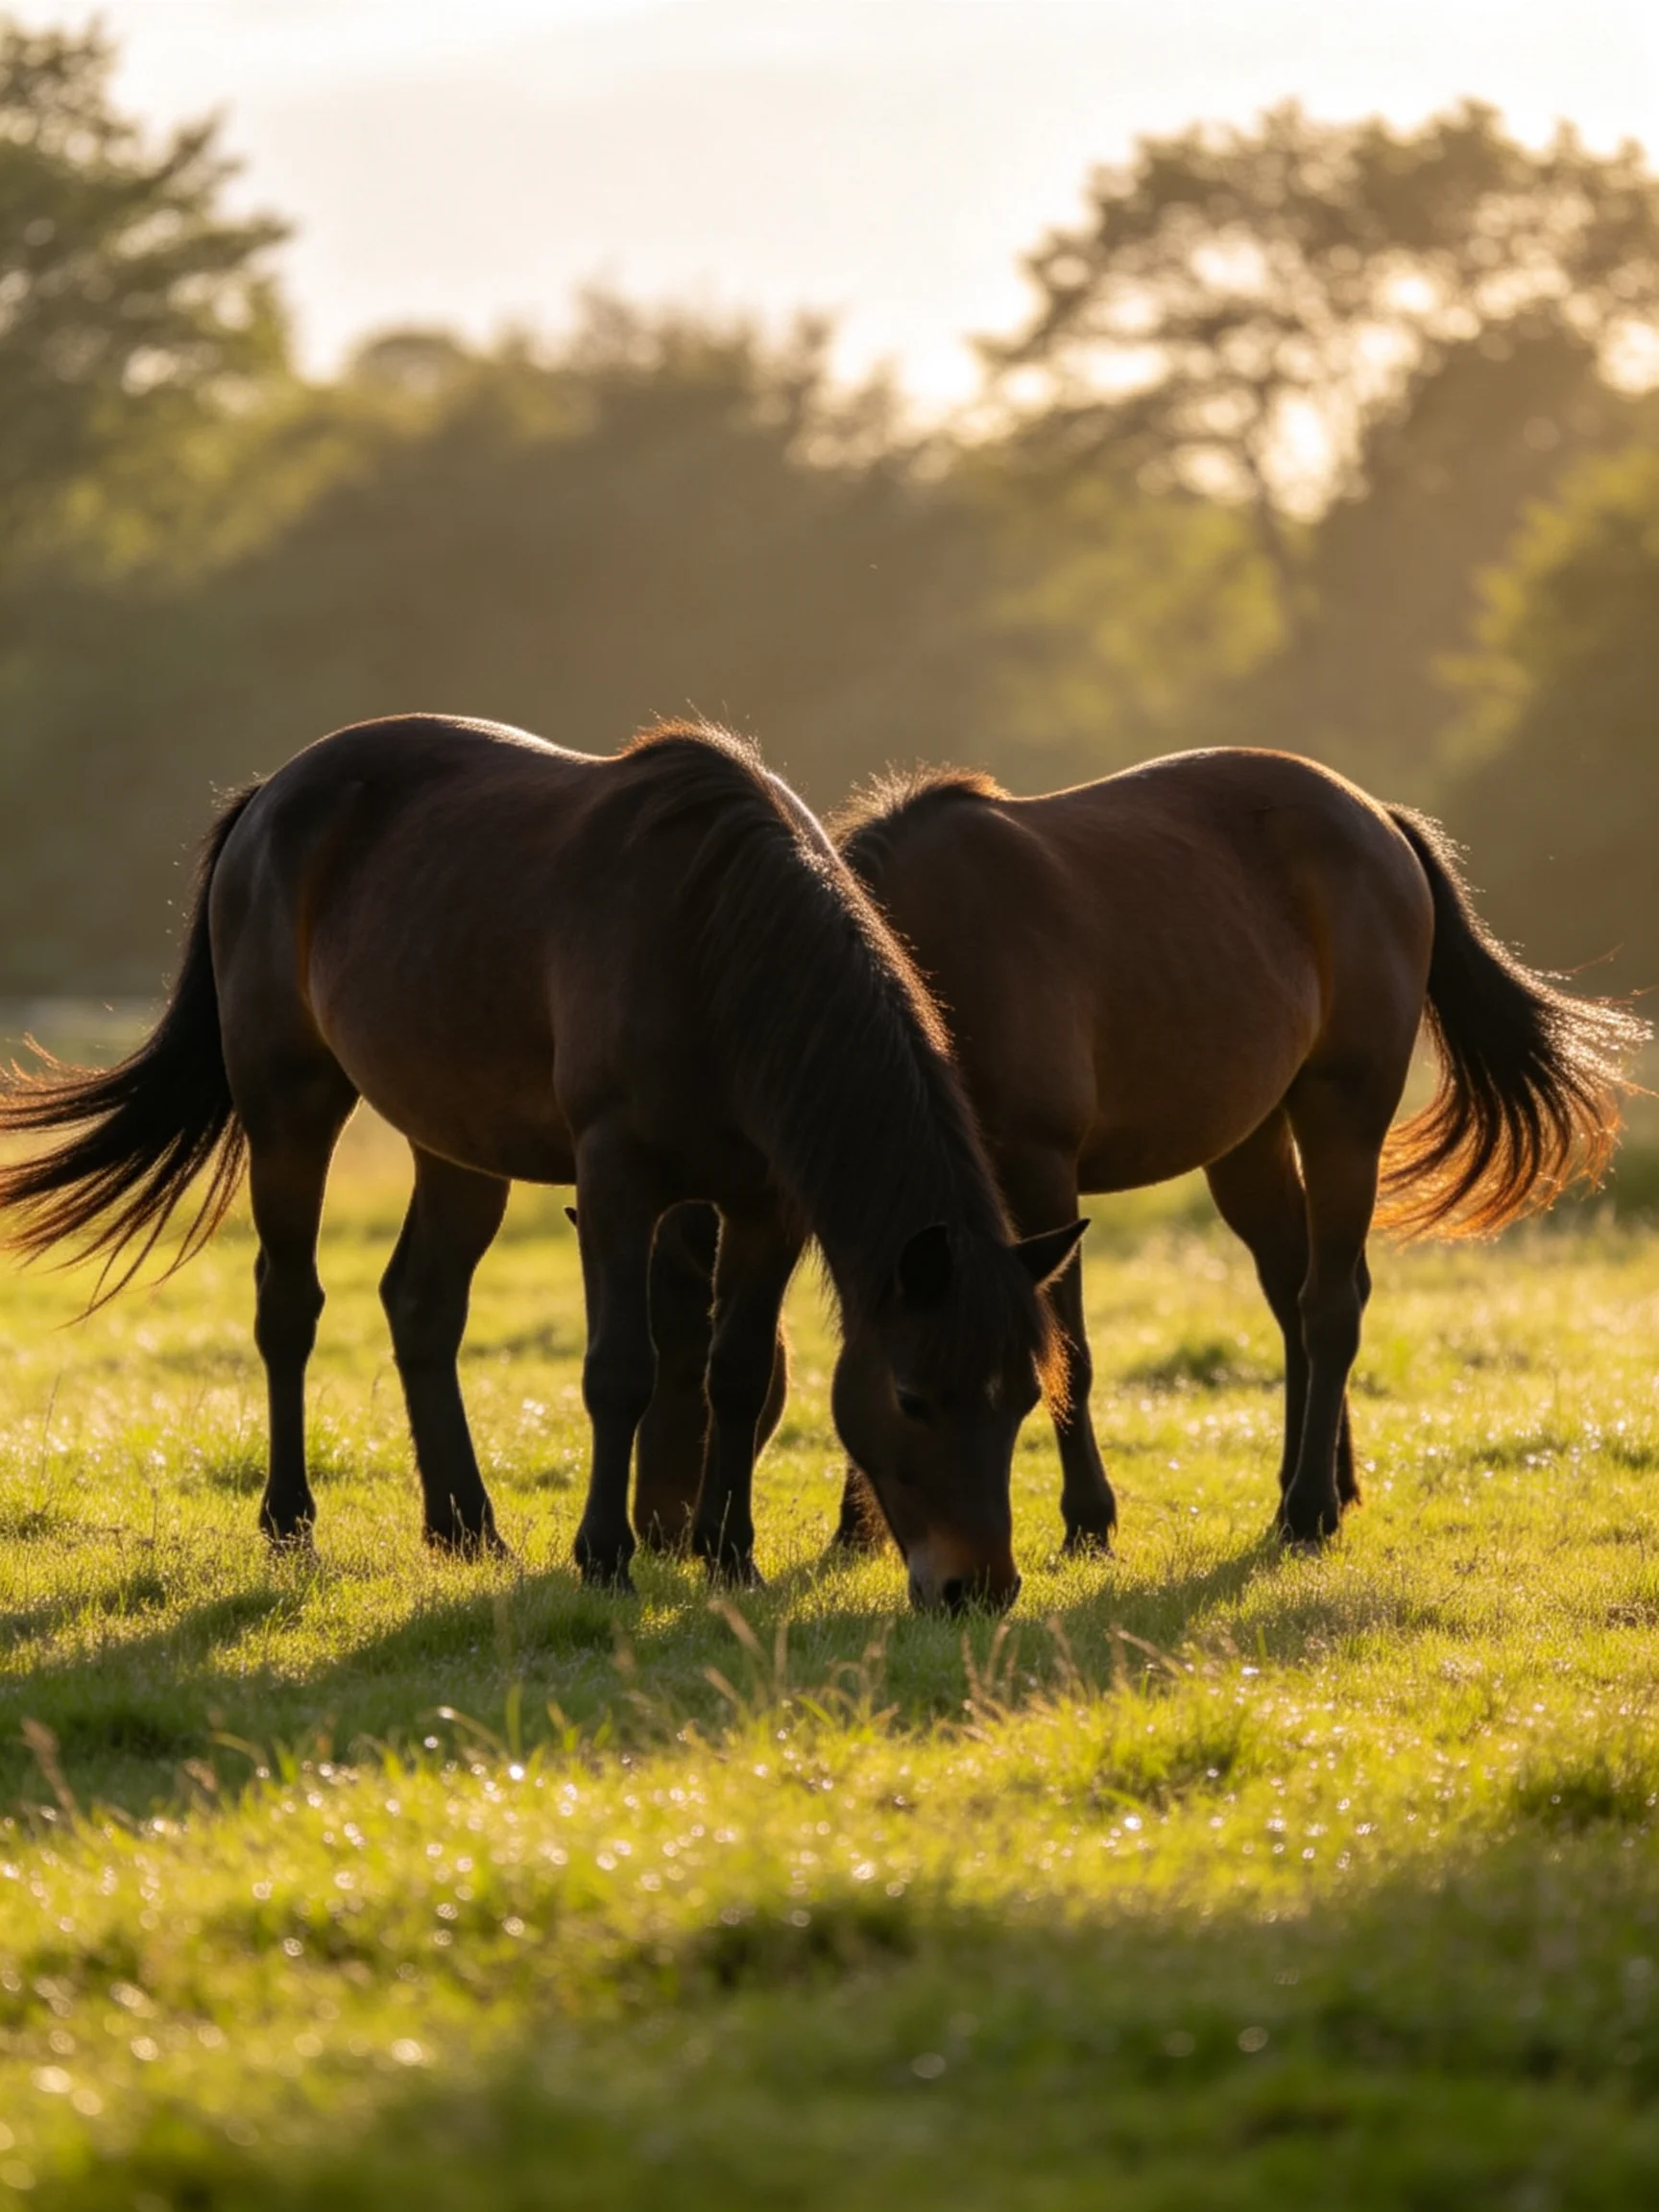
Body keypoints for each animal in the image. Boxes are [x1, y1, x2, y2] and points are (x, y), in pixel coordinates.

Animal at [0, 715, 1085, 1612]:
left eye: (1023, 1399)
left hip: (454, 1144)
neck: (715, 945)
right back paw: (290, 1524)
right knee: (289, 1305)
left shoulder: (766, 1205)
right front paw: (604, 1558)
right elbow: (621, 1372)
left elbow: (733, 1376)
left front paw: (730, 1556)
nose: (976, 1589)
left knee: (422, 1306)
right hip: (289, 1102)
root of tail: (270, 796)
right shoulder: (616, 1180)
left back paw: (466, 1530)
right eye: (911, 1397)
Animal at [638, 747, 1646, 1552]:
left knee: (1327, 1308)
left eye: (691, 1373)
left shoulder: (1039, 1176)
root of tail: (1379, 822)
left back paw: (1308, 1511)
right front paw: (864, 1525)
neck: (918, 963)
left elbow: (1068, 1353)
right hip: (1249, 1142)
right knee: (1301, 1294)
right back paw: (1319, 1482)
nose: (658, 1528)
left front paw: (1087, 1519)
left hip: (1343, 1114)